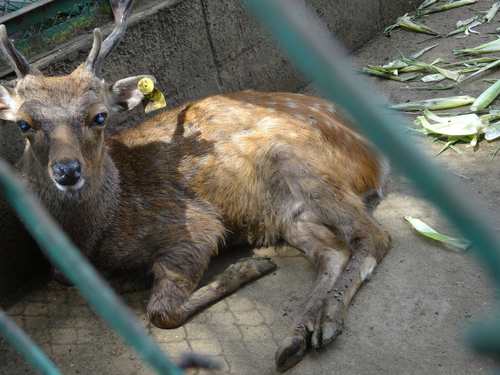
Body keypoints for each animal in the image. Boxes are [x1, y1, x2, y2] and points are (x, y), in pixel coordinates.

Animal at [0, 0, 390, 372]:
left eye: (99, 116)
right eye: (24, 123)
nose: (67, 171)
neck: (93, 238)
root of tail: (376, 156)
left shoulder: (194, 226)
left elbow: (160, 311)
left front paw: (247, 268)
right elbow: (68, 278)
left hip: (302, 163)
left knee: (375, 237)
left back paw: (325, 321)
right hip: (289, 212)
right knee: (333, 250)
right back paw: (296, 338)